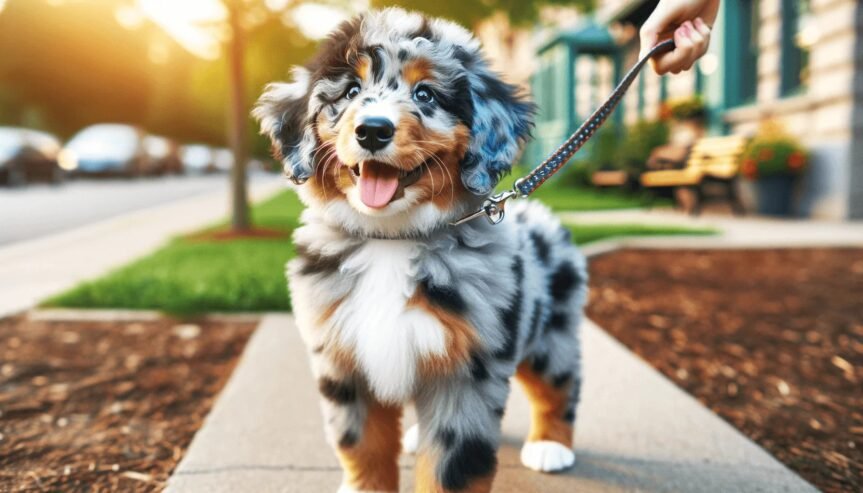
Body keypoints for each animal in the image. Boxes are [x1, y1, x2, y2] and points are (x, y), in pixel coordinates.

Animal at [251, 8, 588, 492]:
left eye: (425, 94)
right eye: (350, 92)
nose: (373, 130)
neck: (390, 240)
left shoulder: (467, 367)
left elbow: (453, 463)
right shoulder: (343, 361)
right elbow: (362, 445)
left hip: (550, 329)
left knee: (559, 380)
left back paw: (551, 445)